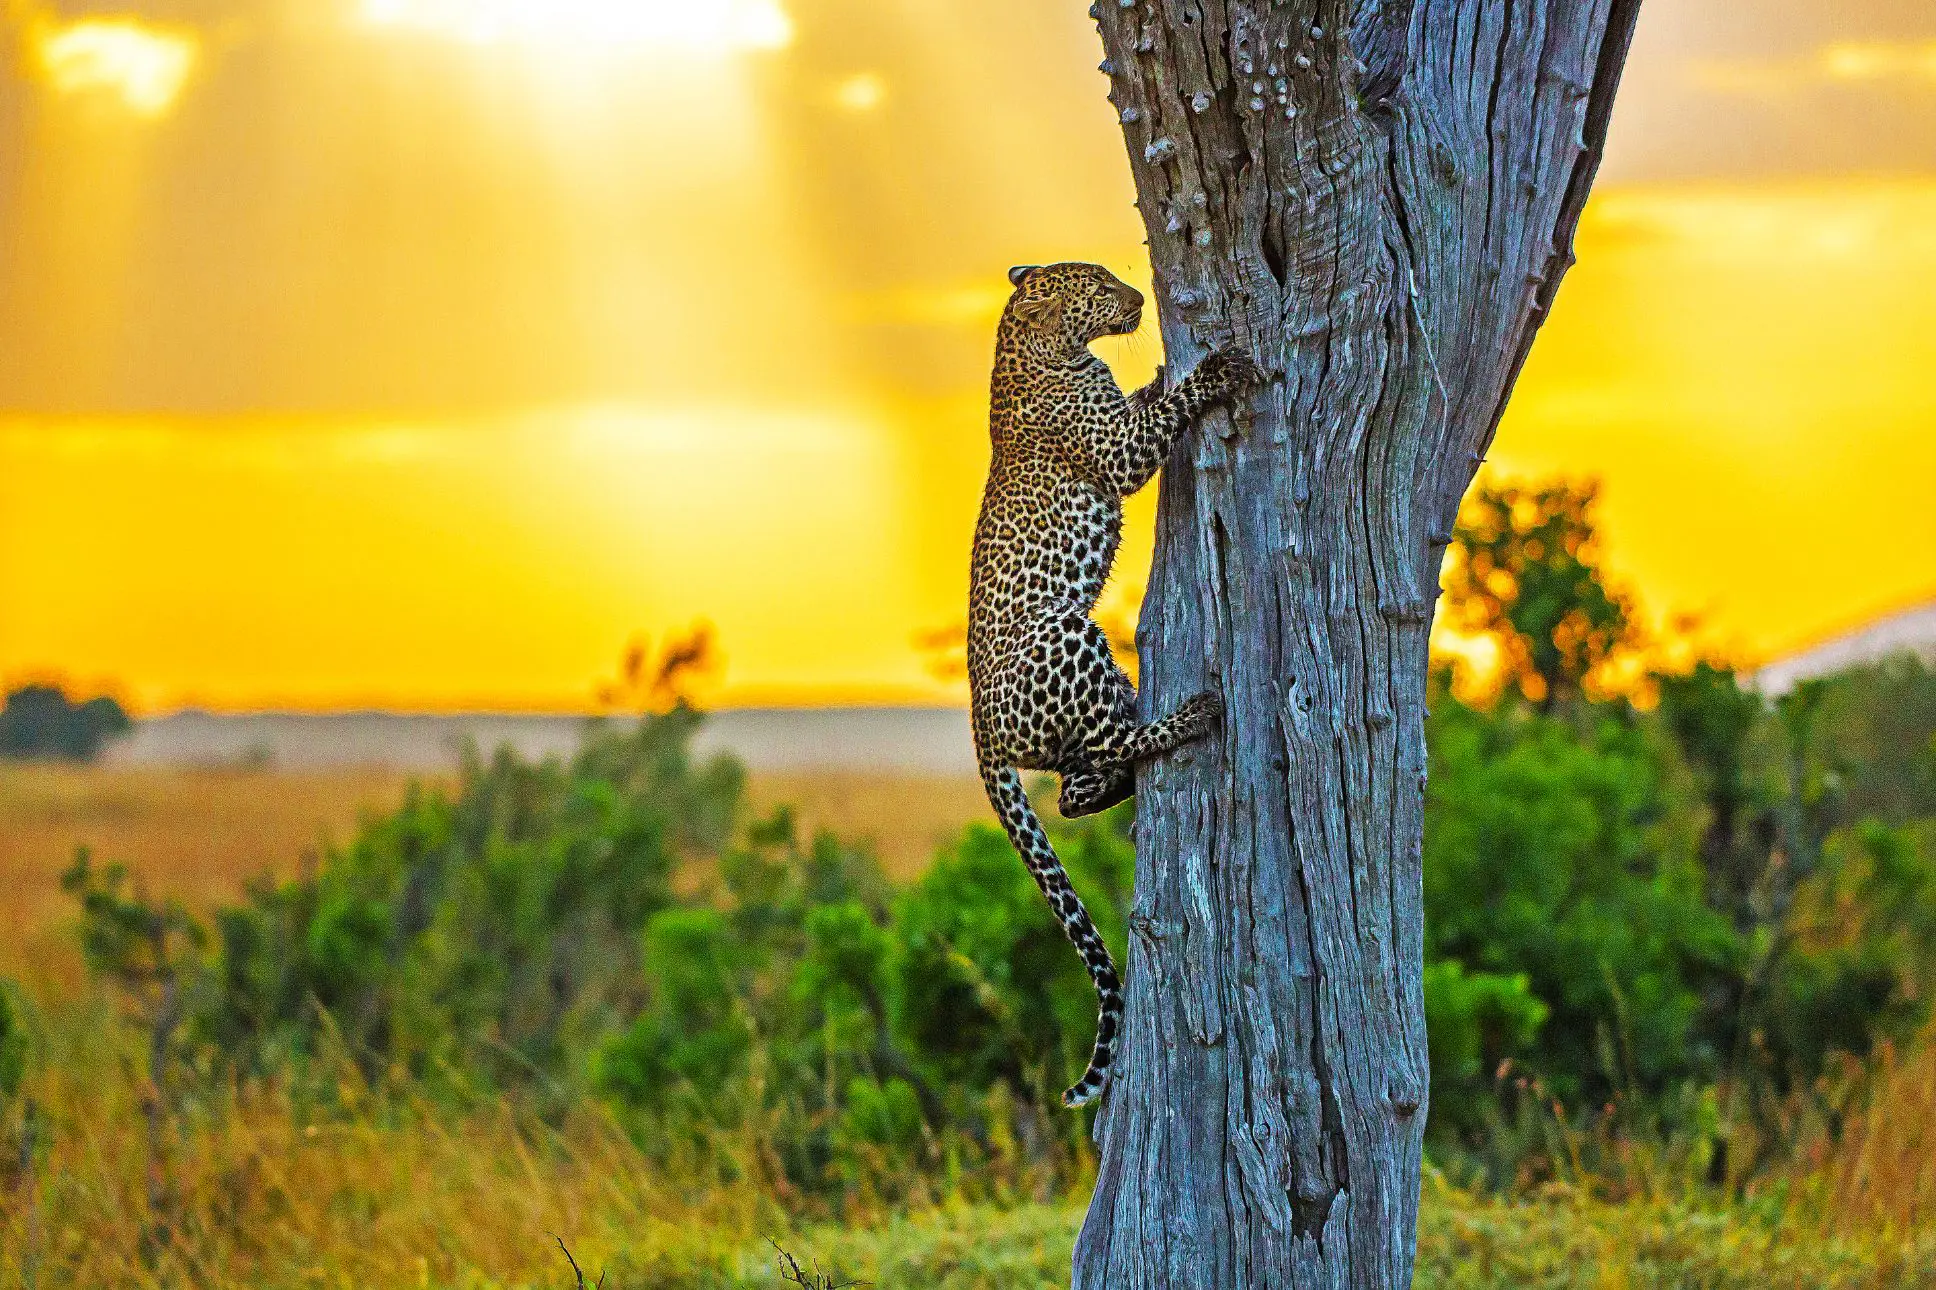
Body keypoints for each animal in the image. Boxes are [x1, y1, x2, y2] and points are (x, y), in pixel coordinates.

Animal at [968, 260, 1263, 1107]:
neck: (1039, 348)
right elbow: (1162, 413)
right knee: (1098, 758)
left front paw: (1162, 371)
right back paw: (1192, 715)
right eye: (1097, 285)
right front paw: (1211, 370)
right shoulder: (1122, 449)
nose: (1135, 300)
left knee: (1076, 784)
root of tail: (978, 734)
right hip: (1066, 632)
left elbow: (1146, 400)